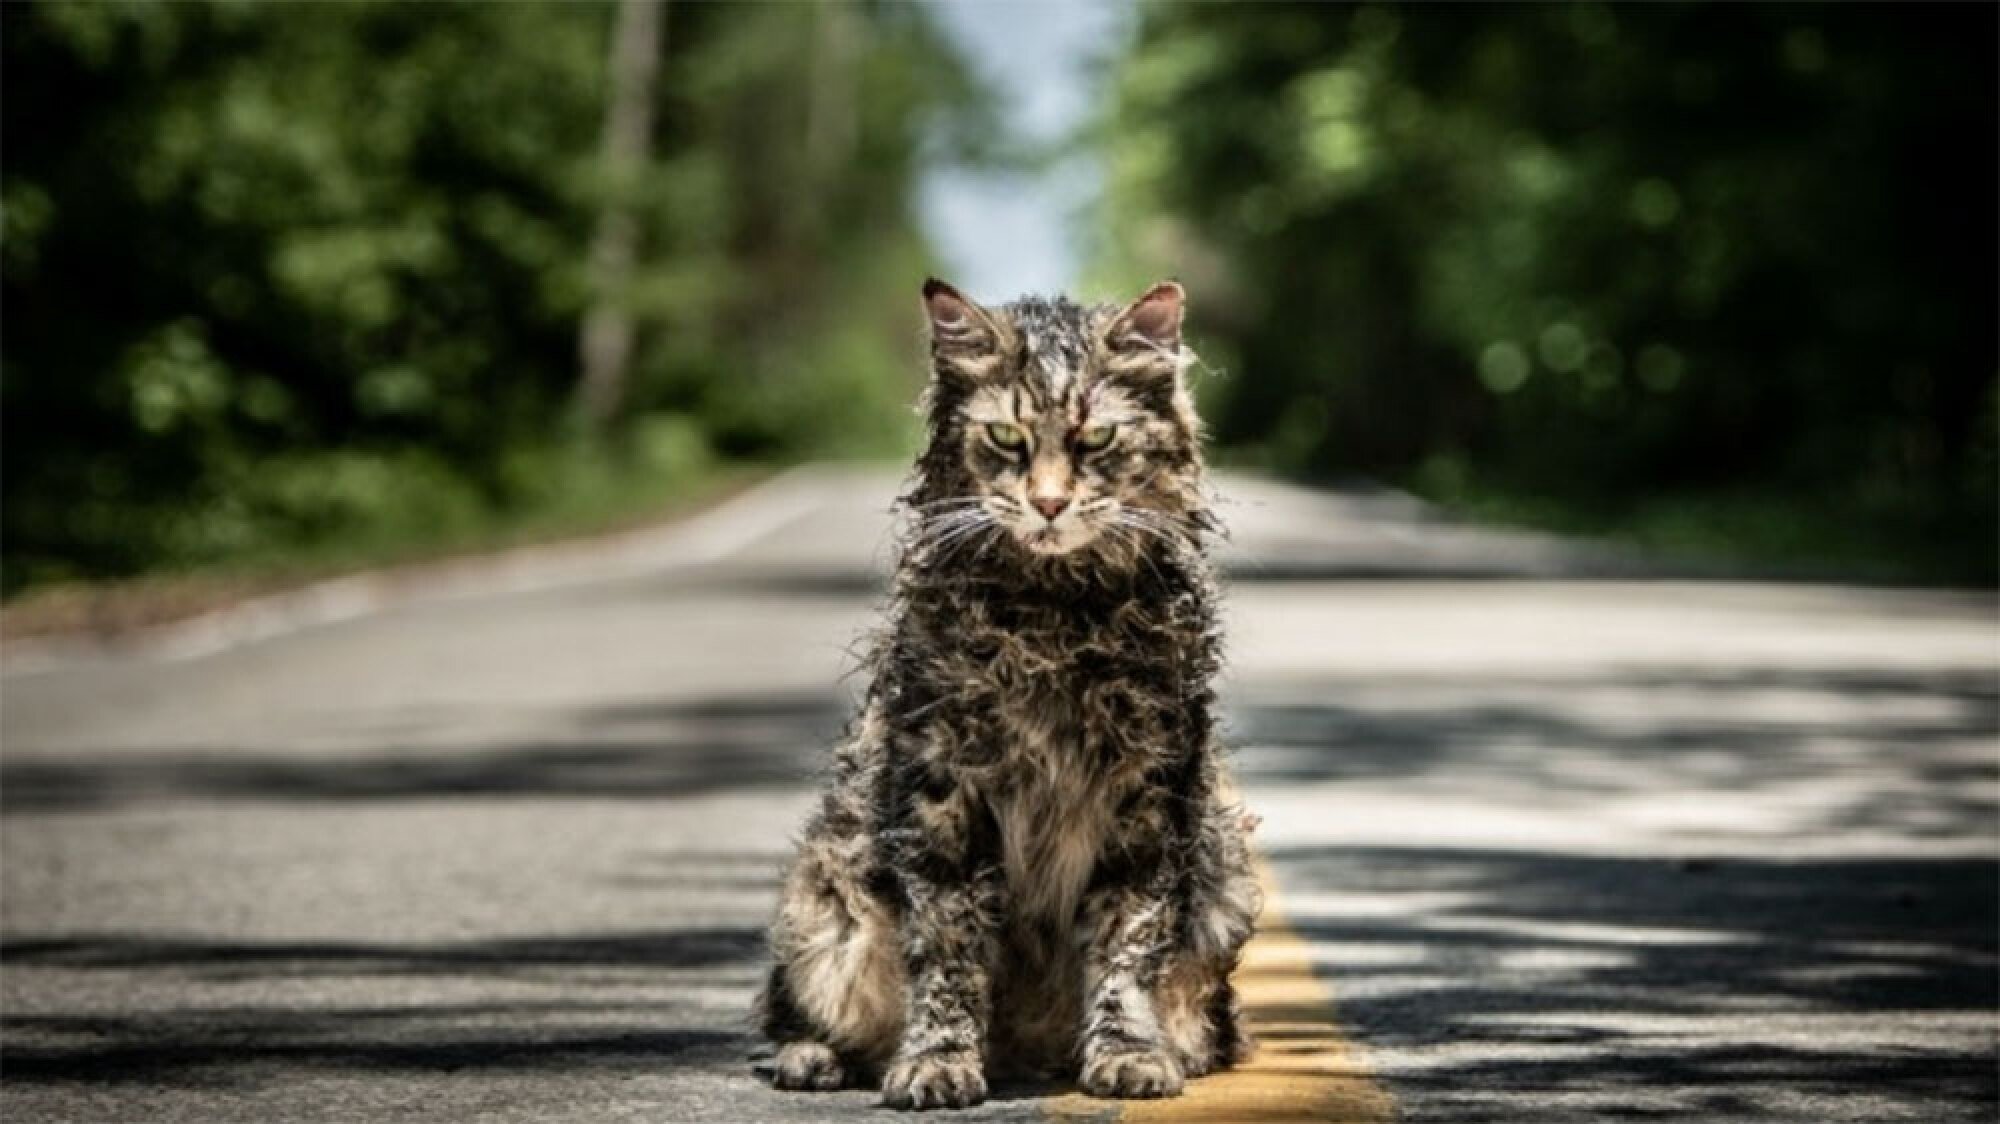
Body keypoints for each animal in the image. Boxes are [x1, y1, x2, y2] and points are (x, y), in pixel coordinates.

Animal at [756, 278, 1256, 1104]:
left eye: (1096, 440)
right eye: (1006, 438)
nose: (1049, 504)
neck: (1055, 619)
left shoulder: (1149, 795)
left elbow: (1126, 943)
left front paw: (1127, 1052)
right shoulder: (943, 792)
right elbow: (949, 950)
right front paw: (938, 1061)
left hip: (1226, 875)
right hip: (823, 898)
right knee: (796, 1011)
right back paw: (815, 1058)